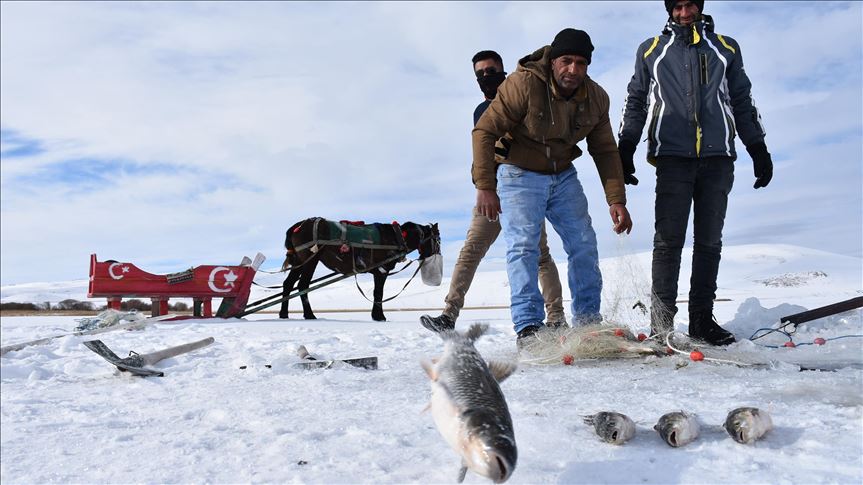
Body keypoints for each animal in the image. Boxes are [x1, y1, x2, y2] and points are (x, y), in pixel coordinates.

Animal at [278, 217, 438, 320]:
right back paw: (309, 314)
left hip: (299, 262)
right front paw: (379, 316)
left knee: (288, 284)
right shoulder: (382, 270)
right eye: (438, 238)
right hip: (310, 260)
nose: (435, 254)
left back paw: (284, 313)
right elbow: (378, 293)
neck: (397, 237)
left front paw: (376, 315)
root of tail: (298, 226)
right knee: (302, 285)